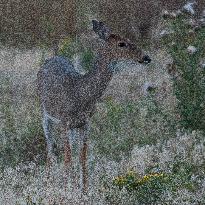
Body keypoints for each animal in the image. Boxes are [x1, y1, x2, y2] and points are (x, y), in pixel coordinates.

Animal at [36, 20, 151, 193]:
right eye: (121, 43)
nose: (146, 57)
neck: (81, 95)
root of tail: (51, 59)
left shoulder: (85, 123)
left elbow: (82, 157)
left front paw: (83, 190)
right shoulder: (63, 121)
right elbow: (67, 158)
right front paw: (66, 190)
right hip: (45, 115)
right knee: (50, 147)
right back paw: (47, 183)